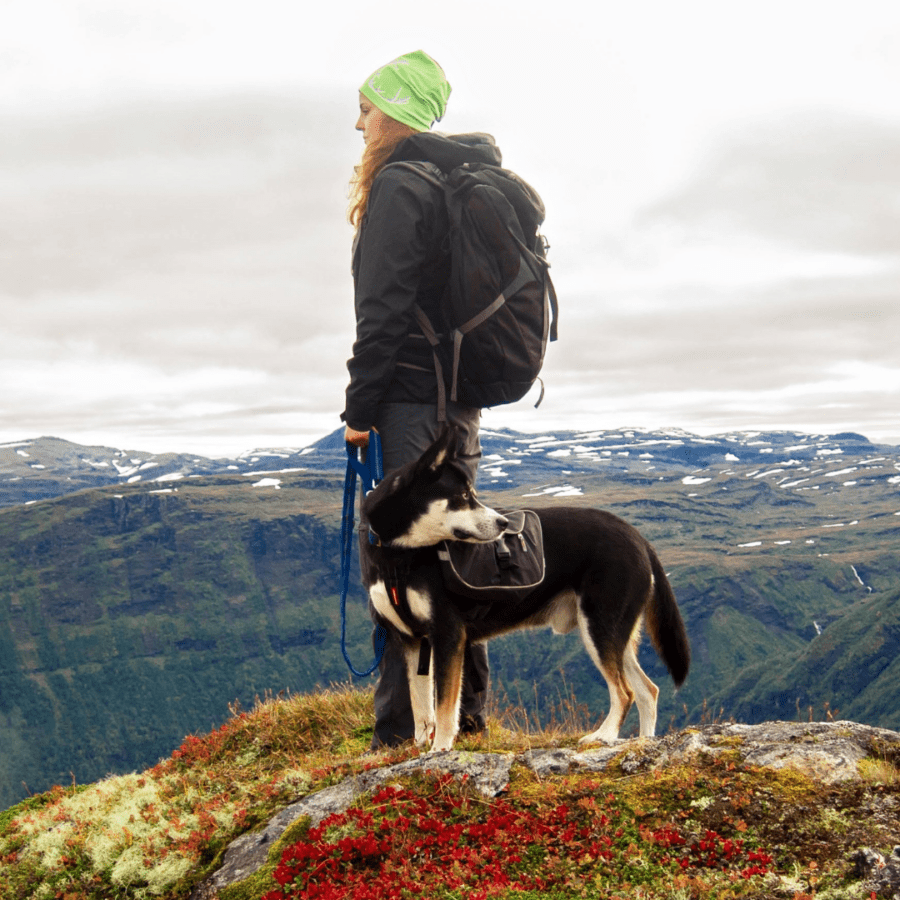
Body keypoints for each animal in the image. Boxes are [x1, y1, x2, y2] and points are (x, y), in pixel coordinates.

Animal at [358, 428, 688, 752]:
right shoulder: (413, 641)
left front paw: (440, 750)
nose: (503, 523)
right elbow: (421, 708)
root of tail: (638, 538)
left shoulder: (448, 635)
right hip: (615, 634)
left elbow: (444, 708)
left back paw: (603, 736)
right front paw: (418, 749)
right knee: (648, 690)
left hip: (600, 628)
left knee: (625, 692)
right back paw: (644, 742)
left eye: (471, 494)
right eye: (463, 497)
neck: (398, 555)